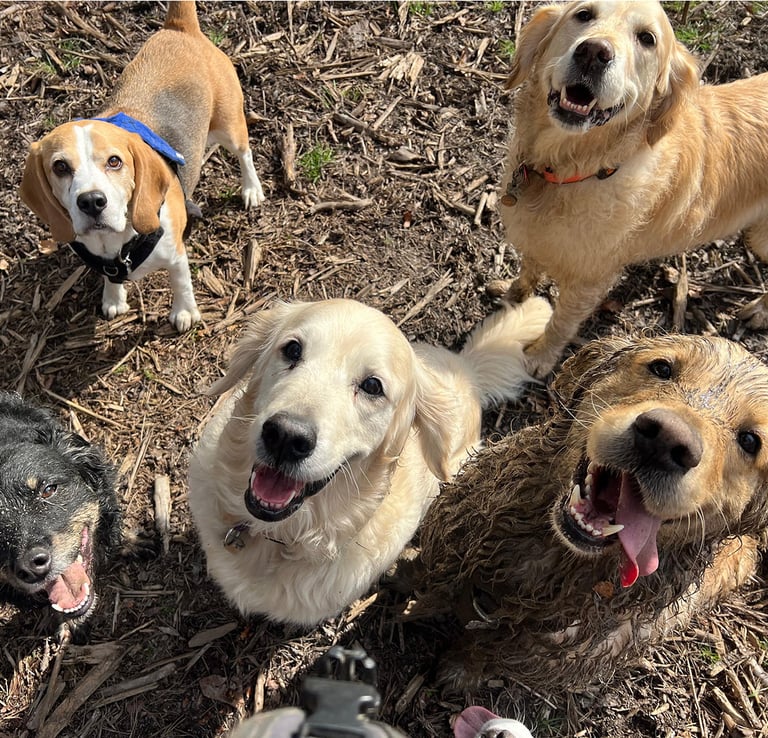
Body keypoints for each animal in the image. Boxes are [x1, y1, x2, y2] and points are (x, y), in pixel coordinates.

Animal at [19, 1, 265, 332]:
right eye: (60, 167)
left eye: (114, 161)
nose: (92, 201)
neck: (116, 244)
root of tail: (179, 28)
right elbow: (109, 278)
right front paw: (114, 298)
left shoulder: (176, 255)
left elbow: (182, 282)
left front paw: (184, 312)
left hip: (230, 126)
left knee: (245, 154)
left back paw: (251, 189)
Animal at [497, 0, 768, 377]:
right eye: (583, 14)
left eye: (647, 39)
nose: (593, 52)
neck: (574, 168)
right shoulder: (534, 237)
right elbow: (529, 268)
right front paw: (514, 296)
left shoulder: (588, 283)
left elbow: (561, 322)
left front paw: (540, 356)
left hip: (761, 239)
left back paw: (759, 310)